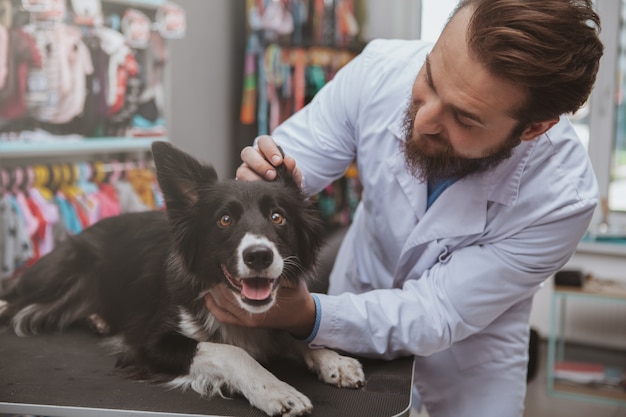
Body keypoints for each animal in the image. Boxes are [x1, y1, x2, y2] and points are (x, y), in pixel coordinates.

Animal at [0, 141, 364, 414]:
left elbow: (295, 336)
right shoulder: (148, 345)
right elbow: (230, 351)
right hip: (58, 274)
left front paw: (332, 359)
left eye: (278, 217)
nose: (259, 256)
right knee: (15, 292)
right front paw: (275, 389)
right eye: (225, 220)